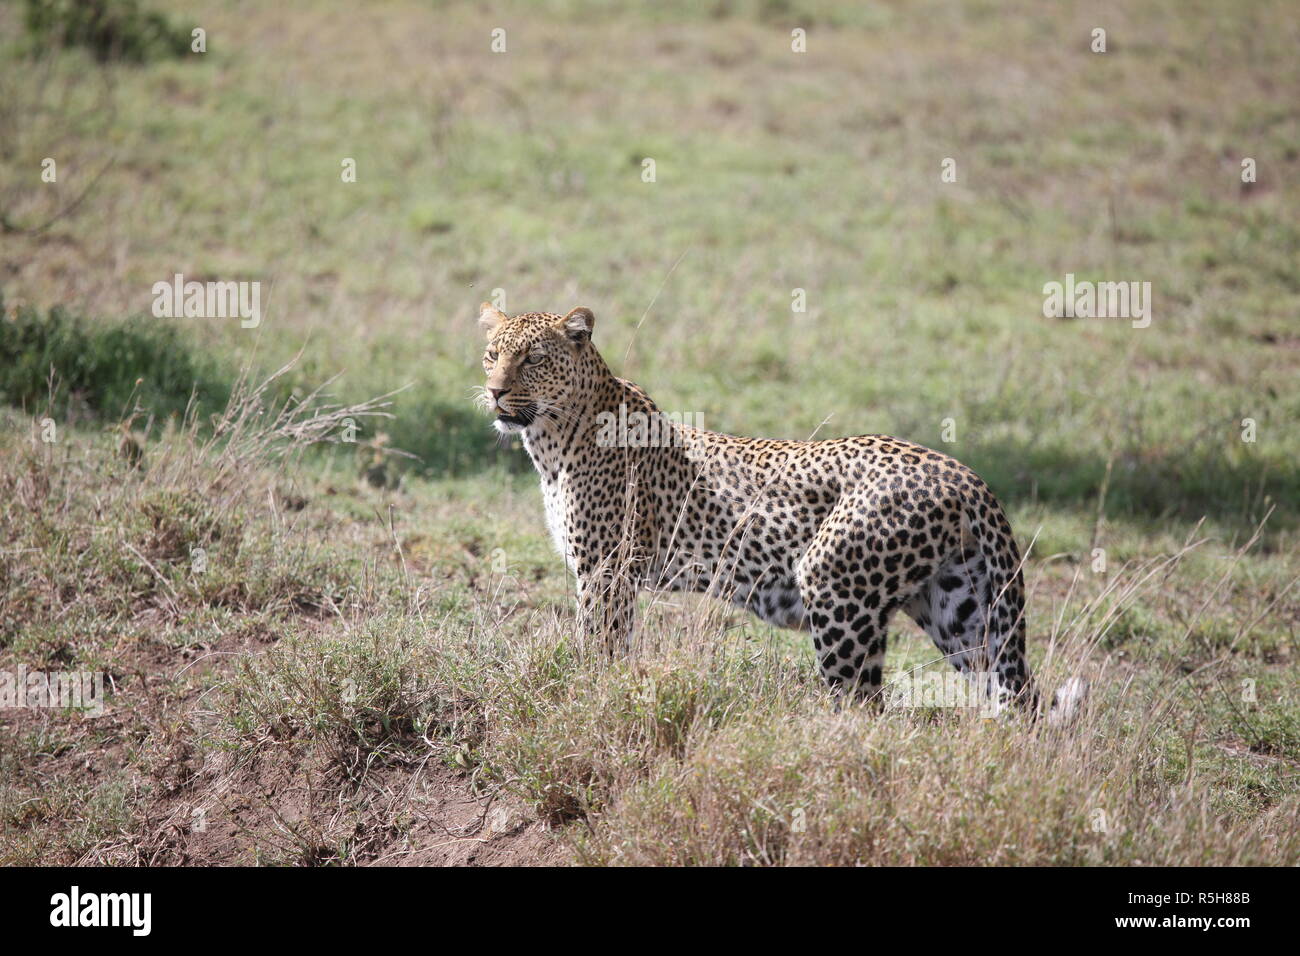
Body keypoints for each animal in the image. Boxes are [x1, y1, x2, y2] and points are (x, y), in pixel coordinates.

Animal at [476, 302, 1085, 720]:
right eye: (492, 355)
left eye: (533, 358)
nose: (496, 392)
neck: (552, 441)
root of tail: (964, 473)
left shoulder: (606, 570)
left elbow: (599, 645)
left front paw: (588, 694)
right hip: (961, 609)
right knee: (1015, 698)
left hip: (838, 589)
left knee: (863, 705)